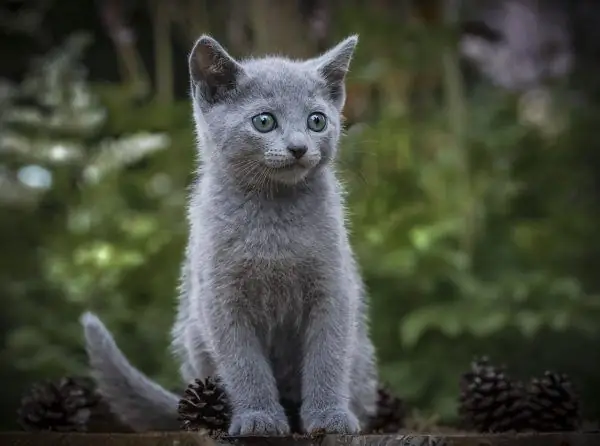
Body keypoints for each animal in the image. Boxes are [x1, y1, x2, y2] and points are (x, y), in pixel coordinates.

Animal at [82, 34, 378, 436]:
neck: (273, 216)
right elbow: (244, 364)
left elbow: (327, 356)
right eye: (264, 121)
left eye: (316, 120)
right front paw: (258, 418)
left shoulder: (334, 288)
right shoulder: (219, 299)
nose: (299, 147)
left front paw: (329, 416)